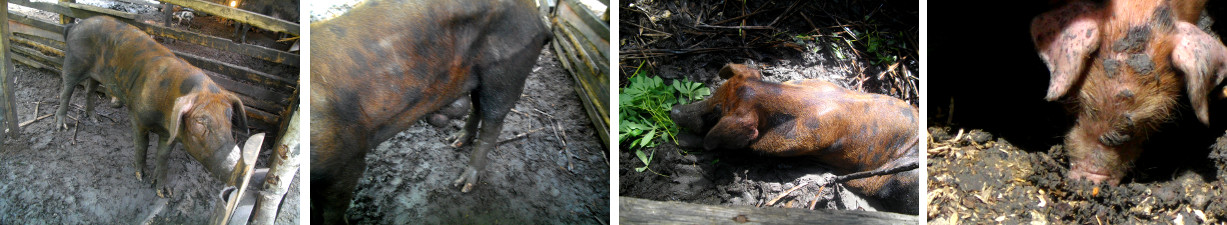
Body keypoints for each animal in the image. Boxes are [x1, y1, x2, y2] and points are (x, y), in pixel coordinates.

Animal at [309, 0, 549, 222]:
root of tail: (535, 14)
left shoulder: (346, 161)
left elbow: (333, 211)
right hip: (477, 74)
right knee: (477, 107)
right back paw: (455, 141)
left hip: (507, 68)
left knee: (494, 122)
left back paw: (463, 184)